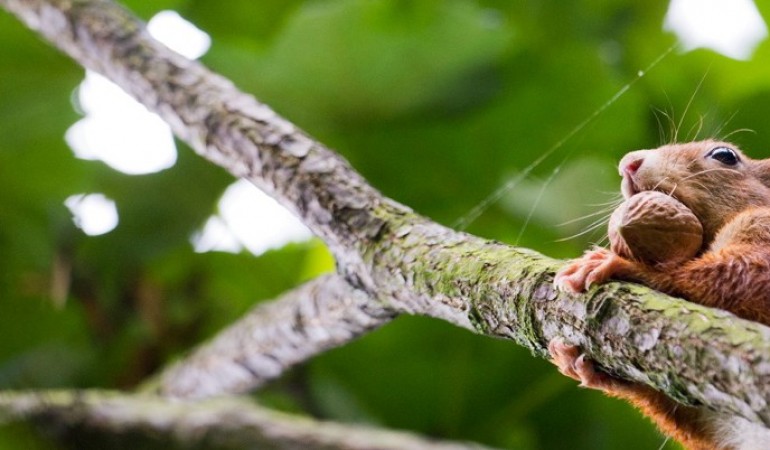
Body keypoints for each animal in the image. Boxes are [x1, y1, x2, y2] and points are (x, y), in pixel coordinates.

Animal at [551, 140, 770, 450]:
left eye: (725, 155)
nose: (628, 163)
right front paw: (591, 368)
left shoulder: (761, 228)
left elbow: (748, 277)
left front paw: (631, 268)